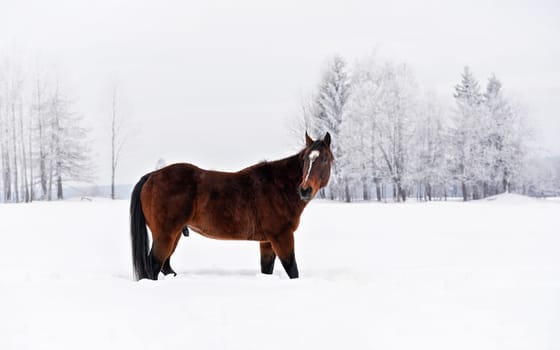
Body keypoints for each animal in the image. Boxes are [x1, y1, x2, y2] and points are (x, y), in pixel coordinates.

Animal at [130, 133, 332, 280]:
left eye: (324, 159)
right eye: (305, 159)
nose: (304, 189)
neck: (278, 186)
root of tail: (152, 176)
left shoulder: (267, 241)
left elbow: (267, 269)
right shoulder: (282, 237)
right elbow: (292, 270)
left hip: (175, 234)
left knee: (165, 266)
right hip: (165, 235)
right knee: (154, 265)